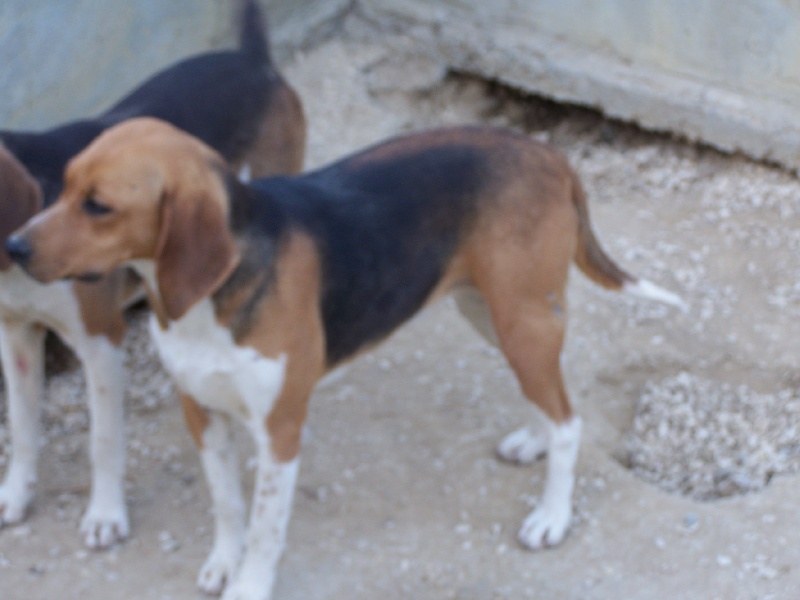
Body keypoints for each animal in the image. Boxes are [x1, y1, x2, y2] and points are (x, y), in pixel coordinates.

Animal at [0, 0, 304, 548]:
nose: (16, 248)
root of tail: (251, 60)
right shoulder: (15, 335)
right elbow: (23, 426)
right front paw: (16, 494)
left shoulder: (100, 340)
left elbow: (103, 440)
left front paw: (104, 514)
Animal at [6, 118, 680, 600]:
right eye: (64, 183)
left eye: (98, 205)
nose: (13, 247)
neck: (210, 299)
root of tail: (547, 153)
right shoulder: (202, 411)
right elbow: (227, 505)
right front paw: (224, 563)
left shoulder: (279, 430)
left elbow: (265, 526)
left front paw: (249, 584)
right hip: (492, 312)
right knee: (549, 398)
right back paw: (532, 440)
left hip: (520, 316)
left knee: (569, 420)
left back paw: (551, 516)